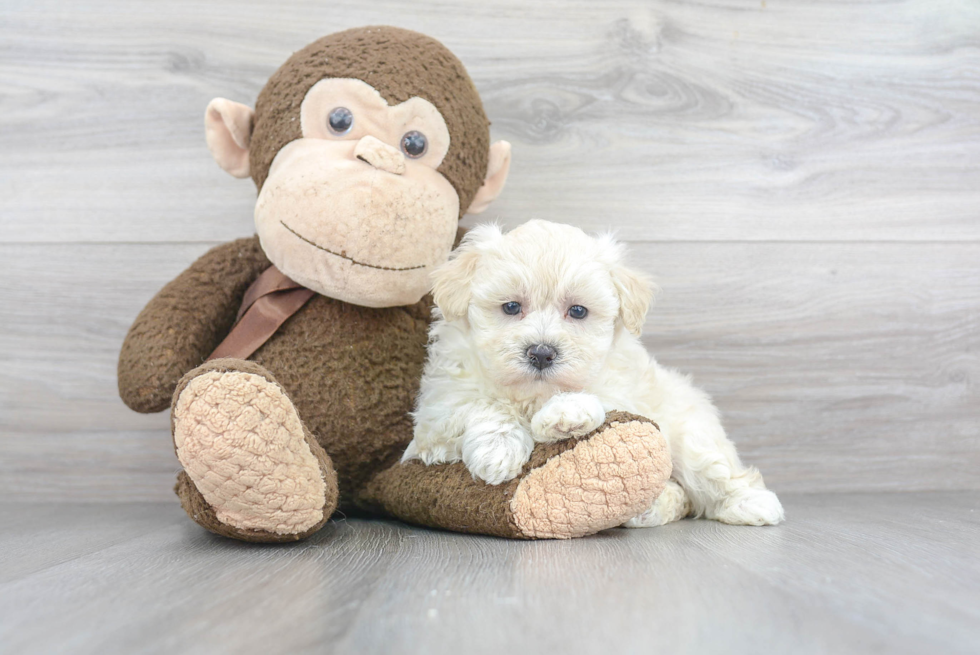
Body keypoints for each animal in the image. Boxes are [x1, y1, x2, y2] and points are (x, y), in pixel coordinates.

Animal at [402, 220, 784, 528]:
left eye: (578, 311)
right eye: (511, 307)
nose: (541, 353)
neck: (531, 394)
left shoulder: (622, 390)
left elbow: (591, 399)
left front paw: (565, 414)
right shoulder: (435, 416)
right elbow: (481, 405)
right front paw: (498, 451)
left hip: (689, 431)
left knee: (710, 471)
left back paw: (749, 502)